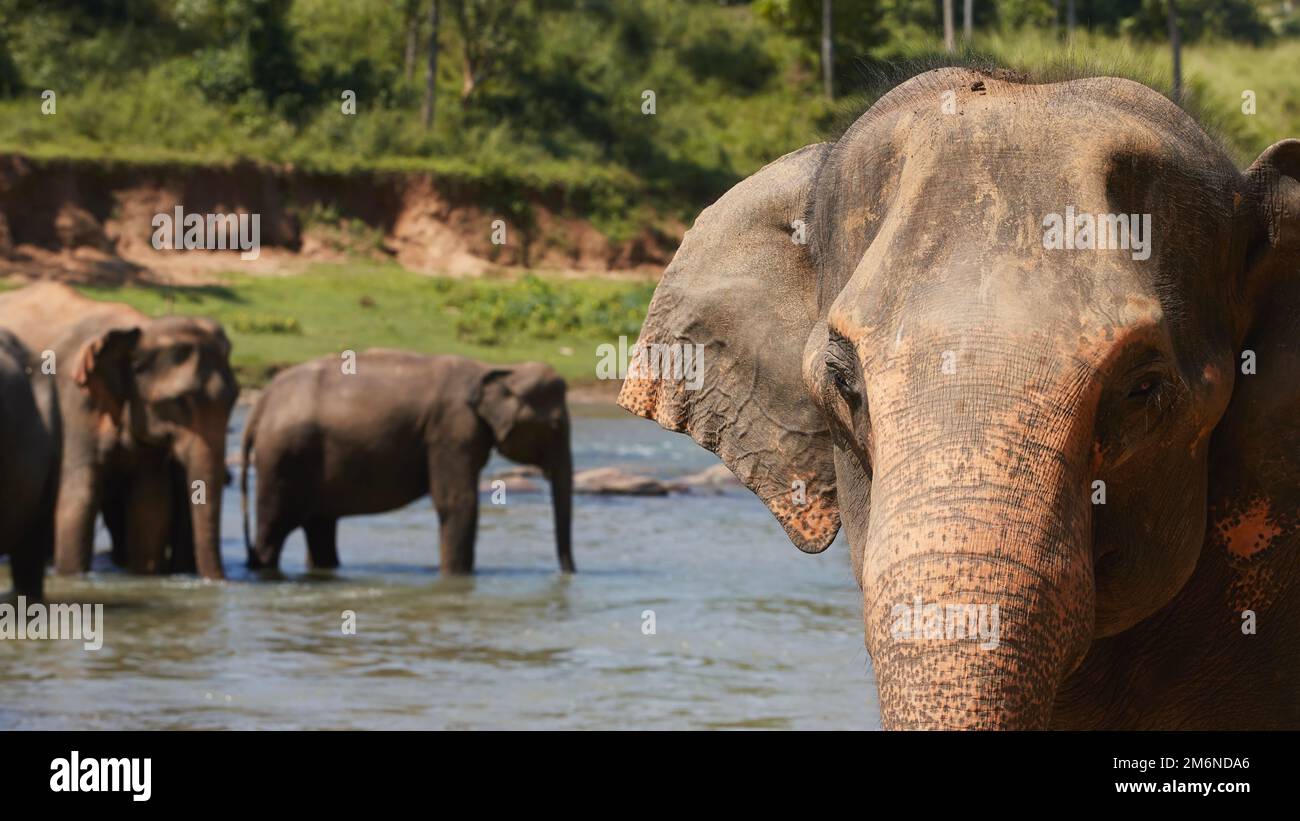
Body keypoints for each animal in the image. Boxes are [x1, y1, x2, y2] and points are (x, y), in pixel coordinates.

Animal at [0, 281, 241, 576]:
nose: (220, 582)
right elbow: (78, 499)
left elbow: (150, 507)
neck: (141, 330)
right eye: (177, 402)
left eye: (235, 397)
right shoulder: (72, 400)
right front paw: (72, 577)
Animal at [240, 350, 574, 574]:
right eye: (556, 425)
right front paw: (456, 579)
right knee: (275, 530)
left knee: (320, 528)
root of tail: (262, 403)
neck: (497, 370)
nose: (569, 574)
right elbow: (457, 503)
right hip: (283, 459)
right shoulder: (451, 431)